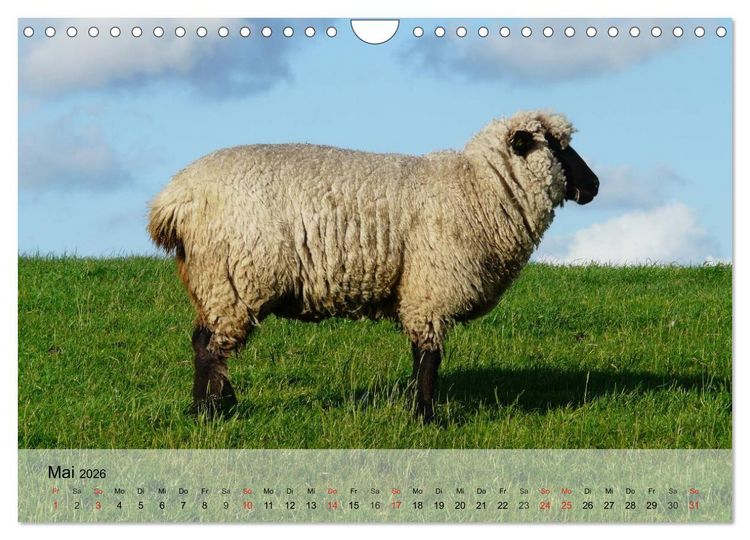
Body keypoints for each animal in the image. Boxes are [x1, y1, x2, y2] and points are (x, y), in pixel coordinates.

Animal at [148, 110, 599, 422]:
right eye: (554, 145)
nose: (594, 185)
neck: (479, 188)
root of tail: (174, 198)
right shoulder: (430, 288)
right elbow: (430, 357)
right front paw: (427, 418)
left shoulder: (418, 292)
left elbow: (420, 355)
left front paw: (419, 410)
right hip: (238, 277)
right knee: (210, 347)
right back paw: (210, 412)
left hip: (212, 281)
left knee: (202, 342)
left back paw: (212, 405)